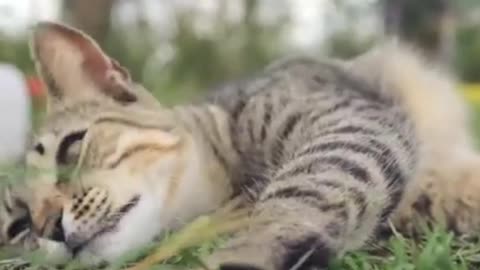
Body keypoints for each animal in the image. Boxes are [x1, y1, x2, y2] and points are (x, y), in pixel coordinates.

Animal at [0, 22, 480, 270]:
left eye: (71, 149)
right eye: (18, 226)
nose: (49, 227)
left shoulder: (348, 124)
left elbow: (301, 192)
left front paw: (249, 249)